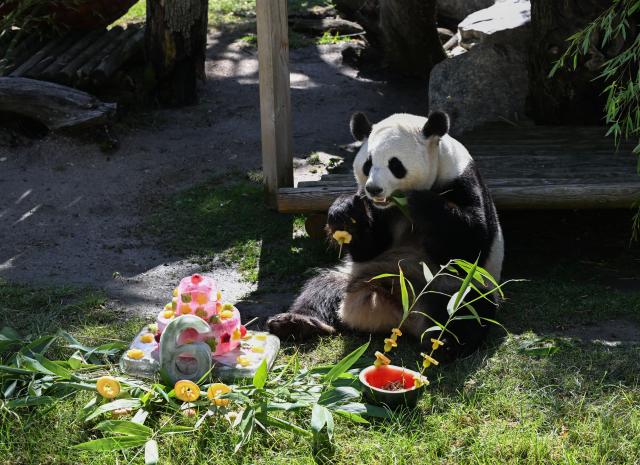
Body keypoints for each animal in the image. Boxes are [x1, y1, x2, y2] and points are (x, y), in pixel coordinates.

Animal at [267, 110, 504, 360]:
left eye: (395, 165)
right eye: (368, 164)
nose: (374, 189)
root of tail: (401, 312)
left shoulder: (462, 180)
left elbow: (471, 241)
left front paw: (419, 202)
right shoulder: (375, 210)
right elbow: (370, 246)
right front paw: (344, 212)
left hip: (453, 285)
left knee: (466, 308)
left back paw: (444, 344)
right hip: (354, 276)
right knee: (320, 288)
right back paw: (297, 322)